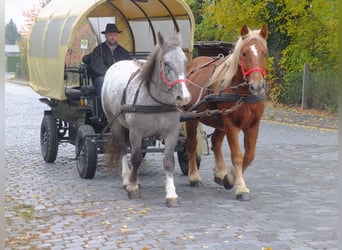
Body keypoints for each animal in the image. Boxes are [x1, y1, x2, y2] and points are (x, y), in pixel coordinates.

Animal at [184, 24, 268, 201]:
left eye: (264, 53)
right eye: (244, 53)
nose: (257, 86)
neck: (243, 94)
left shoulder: (253, 125)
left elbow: (249, 155)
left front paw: (229, 178)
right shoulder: (231, 124)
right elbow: (237, 156)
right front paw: (241, 188)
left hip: (219, 121)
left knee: (216, 141)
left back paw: (220, 172)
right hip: (193, 117)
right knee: (192, 144)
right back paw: (194, 176)